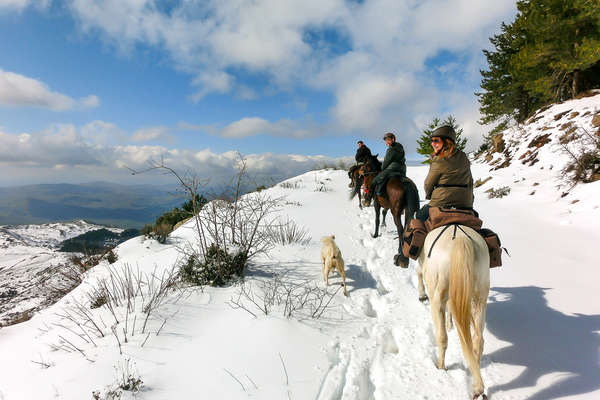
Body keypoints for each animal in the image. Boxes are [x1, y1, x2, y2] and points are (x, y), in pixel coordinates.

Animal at [414, 225, 490, 400]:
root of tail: (461, 239)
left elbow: (418, 272)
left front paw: (421, 295)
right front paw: (450, 324)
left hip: (437, 299)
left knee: (442, 338)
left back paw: (441, 367)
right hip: (479, 299)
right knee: (478, 341)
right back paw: (477, 385)